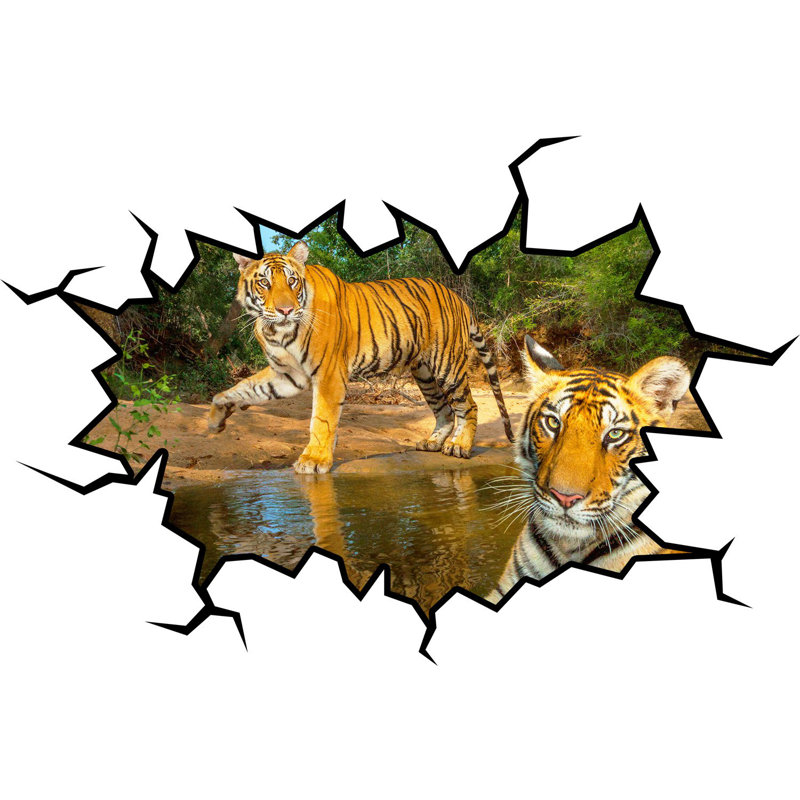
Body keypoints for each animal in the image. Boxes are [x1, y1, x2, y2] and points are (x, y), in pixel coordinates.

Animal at [208, 241, 513, 474]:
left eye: (292, 281)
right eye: (264, 283)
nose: (285, 310)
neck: (278, 331)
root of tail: (457, 297)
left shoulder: (329, 374)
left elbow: (322, 420)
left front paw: (314, 460)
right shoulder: (288, 374)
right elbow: (245, 387)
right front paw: (216, 416)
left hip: (446, 365)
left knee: (468, 405)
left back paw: (460, 446)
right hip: (424, 373)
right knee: (444, 409)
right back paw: (433, 443)